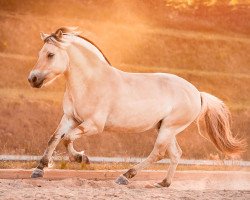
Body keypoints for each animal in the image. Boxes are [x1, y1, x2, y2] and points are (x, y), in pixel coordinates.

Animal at [27, 27, 246, 188]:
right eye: (40, 53)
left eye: (50, 54)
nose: (32, 79)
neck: (91, 81)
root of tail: (197, 93)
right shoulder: (70, 117)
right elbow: (55, 138)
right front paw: (39, 170)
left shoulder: (93, 125)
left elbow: (67, 138)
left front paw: (81, 158)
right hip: (165, 128)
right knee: (175, 154)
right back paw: (163, 183)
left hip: (169, 128)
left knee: (158, 153)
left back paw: (125, 176)